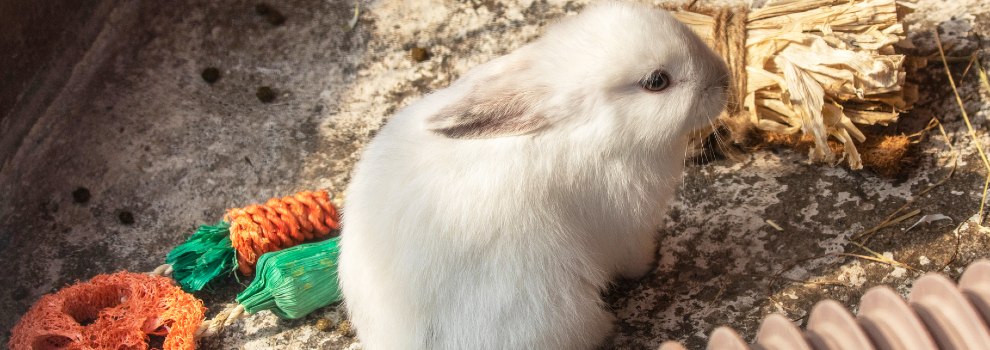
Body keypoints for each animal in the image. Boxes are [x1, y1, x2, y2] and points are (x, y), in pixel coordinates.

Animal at [338, 1, 732, 348]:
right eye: (656, 81)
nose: (725, 78)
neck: (589, 131)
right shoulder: (626, 228)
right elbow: (634, 258)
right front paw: (655, 260)